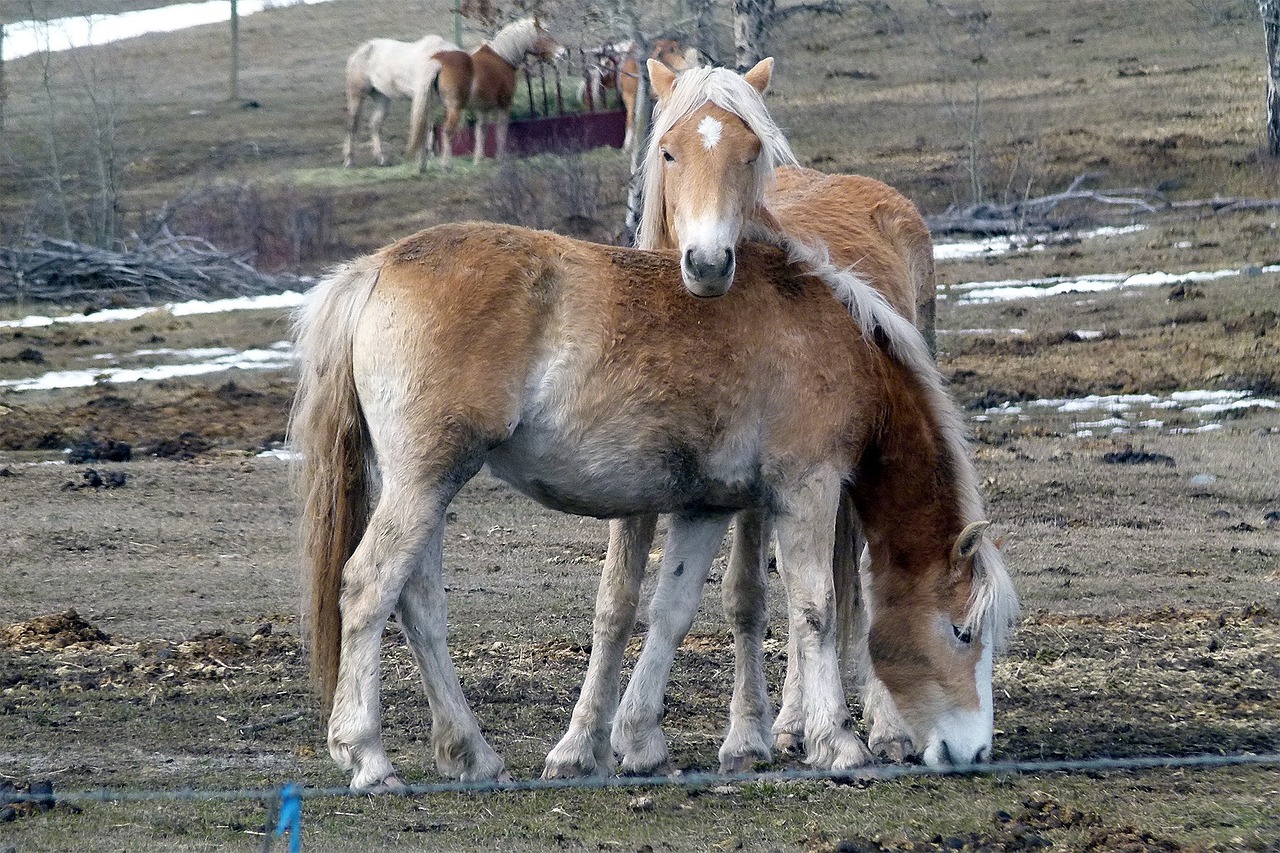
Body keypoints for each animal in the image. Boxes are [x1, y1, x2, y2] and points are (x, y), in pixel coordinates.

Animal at [293, 216, 1018, 788]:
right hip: (423, 481)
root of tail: (374, 270)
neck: (836, 338)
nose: (975, 750)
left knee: (419, 606)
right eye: (963, 630)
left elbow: (671, 612)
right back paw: (367, 756)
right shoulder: (806, 488)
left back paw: (471, 753)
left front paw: (639, 743)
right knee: (368, 588)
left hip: (428, 486)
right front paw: (837, 744)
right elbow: (816, 609)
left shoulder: (705, 508)